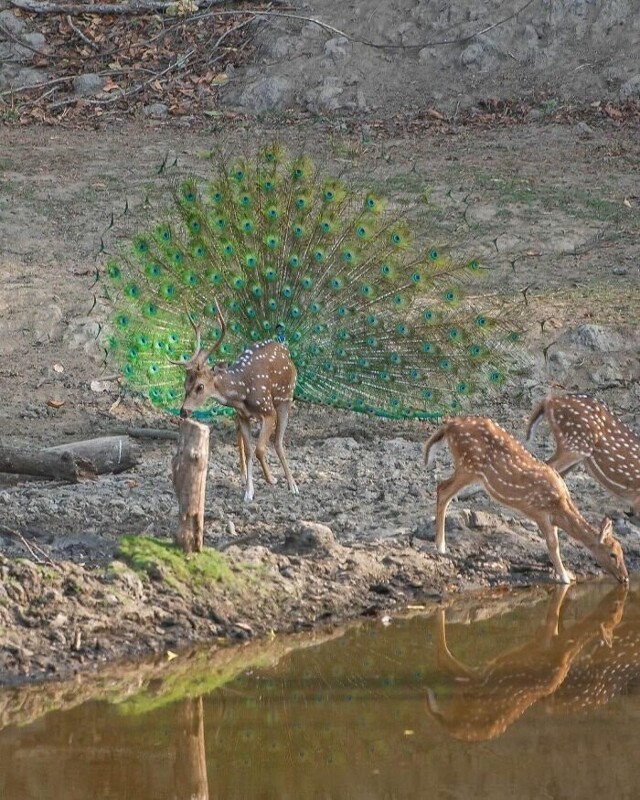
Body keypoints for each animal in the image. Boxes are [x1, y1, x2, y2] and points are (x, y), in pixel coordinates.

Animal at [172, 304, 298, 500]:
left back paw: (292, 485)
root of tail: (284, 348)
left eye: (200, 386)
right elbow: (249, 451)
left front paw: (271, 480)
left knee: (278, 440)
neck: (242, 393)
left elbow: (260, 448)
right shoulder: (243, 415)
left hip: (286, 398)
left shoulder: (268, 410)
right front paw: (248, 492)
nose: (183, 411)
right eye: (185, 384)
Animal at [422, 418, 628, 580]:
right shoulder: (539, 512)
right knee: (442, 489)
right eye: (612, 554)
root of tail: (450, 425)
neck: (559, 506)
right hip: (468, 466)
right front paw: (565, 577)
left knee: (442, 488)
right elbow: (553, 544)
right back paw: (440, 546)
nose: (625, 577)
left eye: (622, 551)